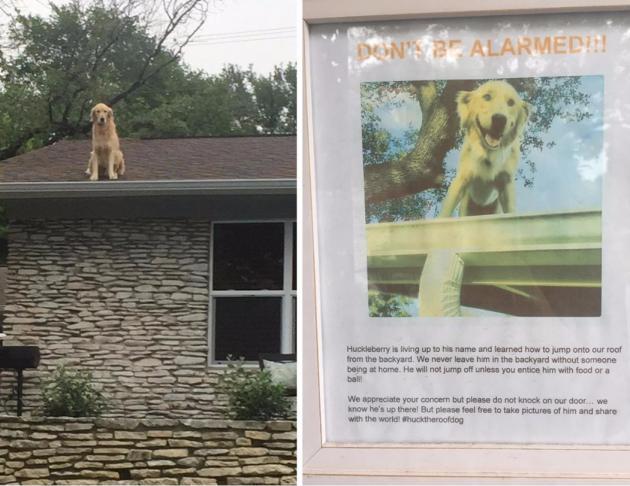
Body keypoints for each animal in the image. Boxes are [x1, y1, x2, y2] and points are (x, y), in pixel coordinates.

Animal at [440, 80, 532, 217]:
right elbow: (445, 213)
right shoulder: (462, 178)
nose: (499, 119)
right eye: (487, 97)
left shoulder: (506, 183)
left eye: (511, 102)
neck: (489, 153)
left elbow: (511, 212)